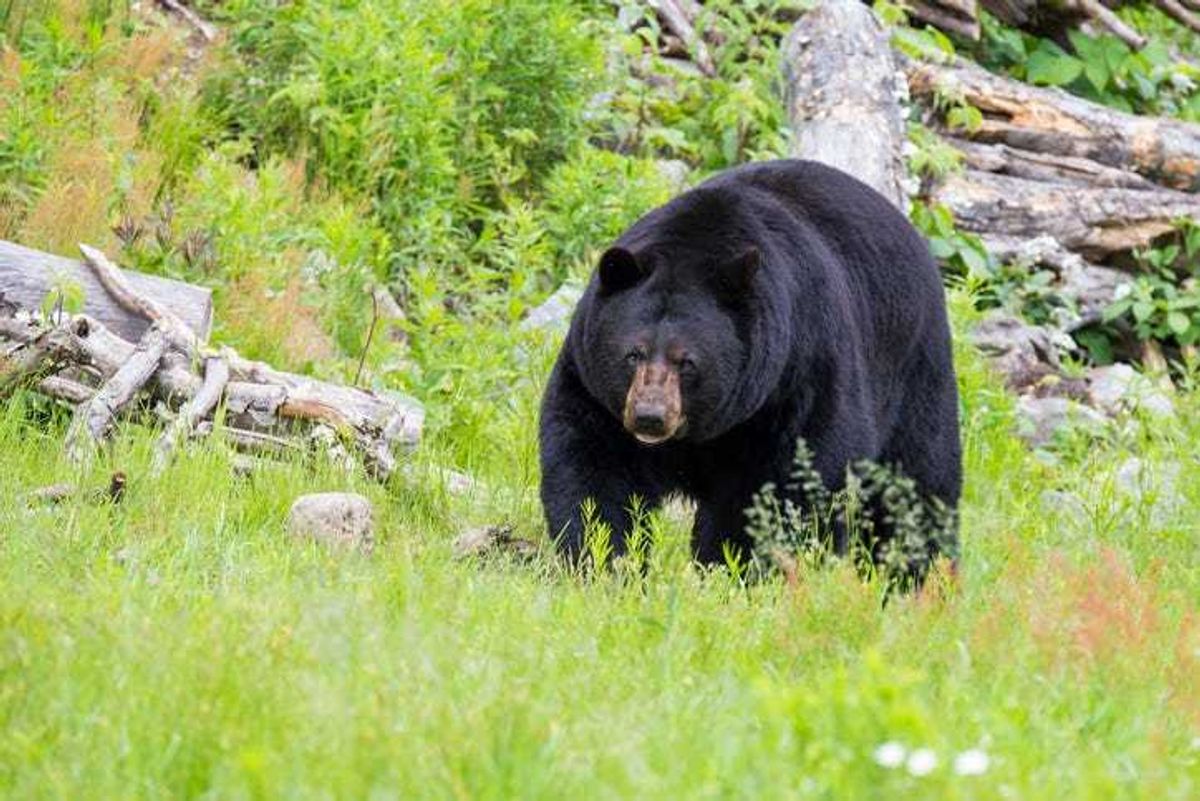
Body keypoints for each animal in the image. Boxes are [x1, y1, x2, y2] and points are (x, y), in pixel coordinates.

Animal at [538, 159, 961, 570]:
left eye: (687, 361)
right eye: (633, 353)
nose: (650, 417)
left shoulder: (798, 375)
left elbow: (791, 480)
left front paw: (736, 565)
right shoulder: (594, 385)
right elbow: (594, 465)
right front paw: (603, 558)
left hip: (914, 367)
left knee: (918, 481)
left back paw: (917, 571)